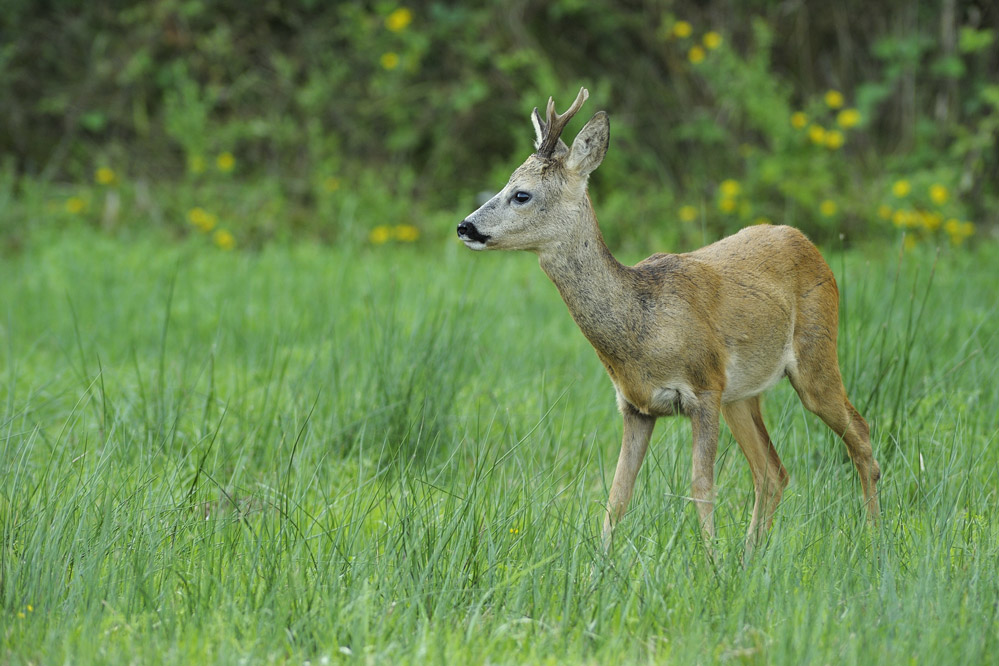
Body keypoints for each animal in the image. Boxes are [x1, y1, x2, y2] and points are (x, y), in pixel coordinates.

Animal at [458, 88, 880, 552]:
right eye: (504, 183)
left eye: (521, 194)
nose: (465, 226)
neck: (642, 323)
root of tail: (805, 240)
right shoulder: (635, 405)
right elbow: (617, 495)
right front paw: (600, 562)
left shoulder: (705, 387)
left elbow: (701, 486)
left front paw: (711, 559)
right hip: (742, 394)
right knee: (773, 472)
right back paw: (751, 555)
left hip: (814, 358)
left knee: (860, 436)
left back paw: (874, 540)